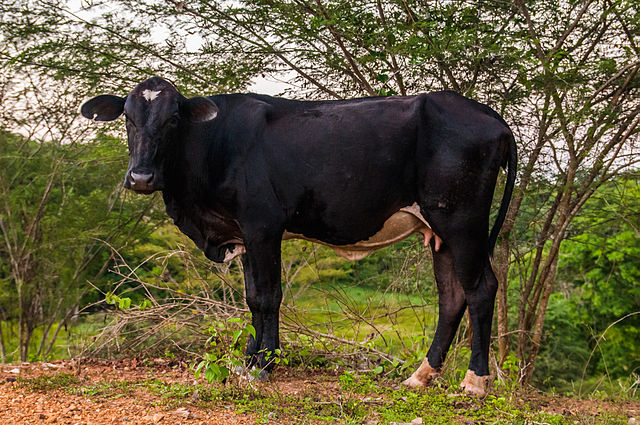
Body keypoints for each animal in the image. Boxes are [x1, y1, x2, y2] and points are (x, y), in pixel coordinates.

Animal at [82, 75, 516, 394]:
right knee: (452, 296)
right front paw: (247, 360)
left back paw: (475, 381)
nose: (141, 177)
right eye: (128, 117)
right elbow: (252, 299)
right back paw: (420, 376)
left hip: (461, 220)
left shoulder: (262, 226)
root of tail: (486, 114)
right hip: (438, 230)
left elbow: (268, 297)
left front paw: (263, 366)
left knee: (480, 289)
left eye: (173, 119)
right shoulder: (244, 234)